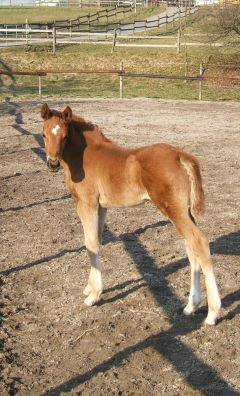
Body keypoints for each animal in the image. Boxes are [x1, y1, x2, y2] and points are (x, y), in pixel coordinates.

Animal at [40, 103, 221, 324]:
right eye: (44, 134)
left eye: (65, 136)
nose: (53, 163)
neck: (84, 156)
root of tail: (180, 155)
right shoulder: (102, 207)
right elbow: (97, 241)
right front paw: (90, 288)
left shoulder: (86, 203)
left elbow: (90, 243)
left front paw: (94, 295)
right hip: (183, 211)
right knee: (190, 247)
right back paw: (191, 306)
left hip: (174, 210)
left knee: (199, 243)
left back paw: (212, 313)